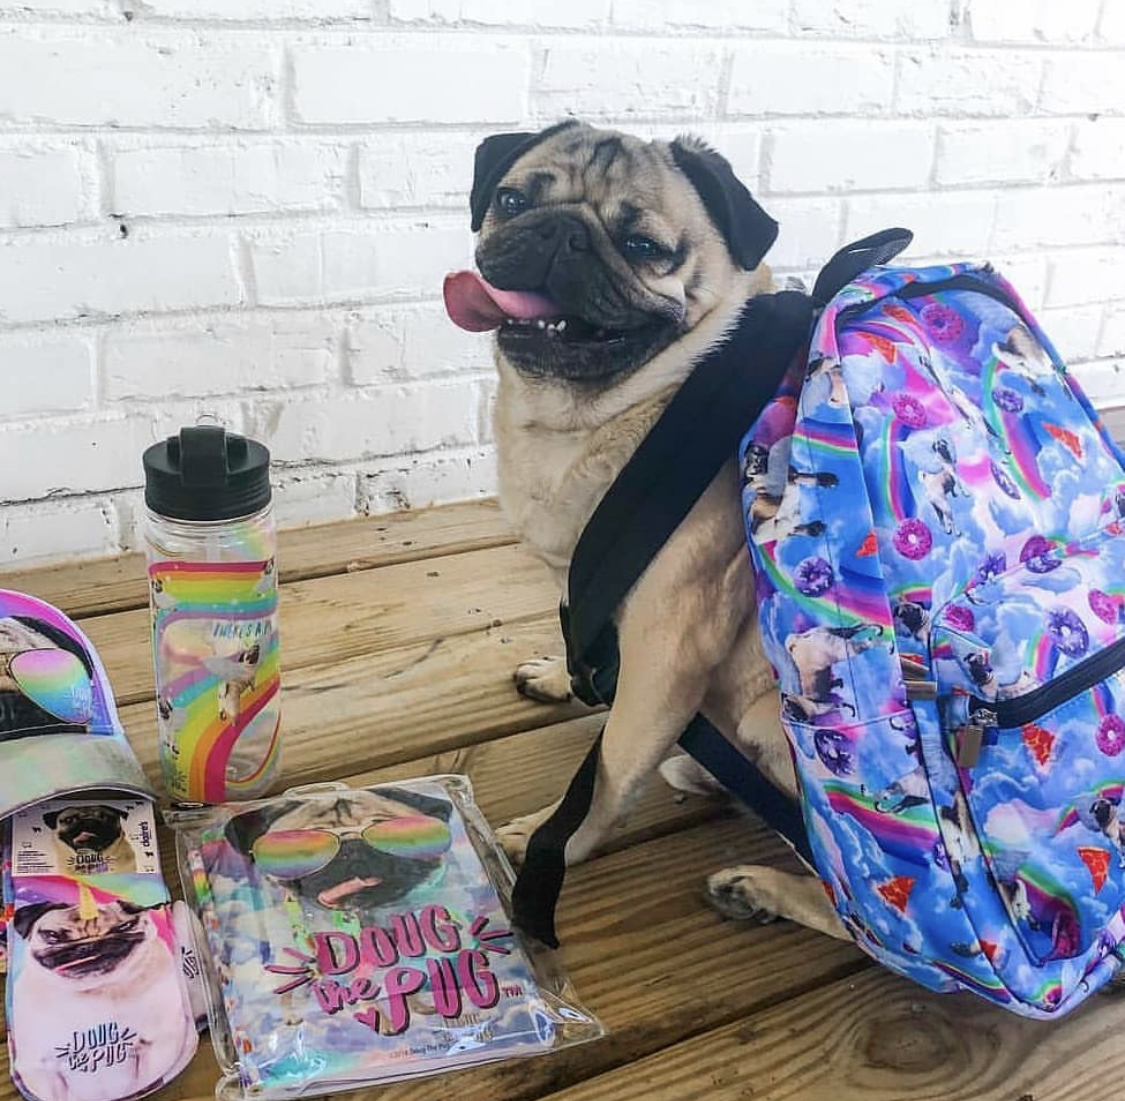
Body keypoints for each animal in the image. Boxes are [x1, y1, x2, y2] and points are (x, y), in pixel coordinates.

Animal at [10, 904, 194, 1101]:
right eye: (52, 936)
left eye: (125, 926)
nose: (88, 945)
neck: (95, 991)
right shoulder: (41, 1068)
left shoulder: (158, 1045)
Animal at [443, 122, 846, 949]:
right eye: (512, 201)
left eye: (642, 246)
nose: (561, 233)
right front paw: (561, 674)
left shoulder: (667, 649)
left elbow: (606, 775)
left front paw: (551, 840)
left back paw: (761, 888)